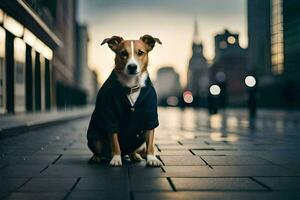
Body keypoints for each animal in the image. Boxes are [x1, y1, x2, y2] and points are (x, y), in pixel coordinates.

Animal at [86, 34, 162, 167]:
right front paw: (116, 158)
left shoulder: (150, 116)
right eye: (123, 53)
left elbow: (151, 143)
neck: (131, 85)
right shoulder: (110, 116)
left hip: (140, 142)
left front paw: (152, 158)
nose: (132, 66)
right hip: (95, 139)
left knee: (134, 151)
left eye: (140, 52)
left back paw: (135, 156)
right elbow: (115, 141)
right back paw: (98, 157)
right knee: (99, 151)